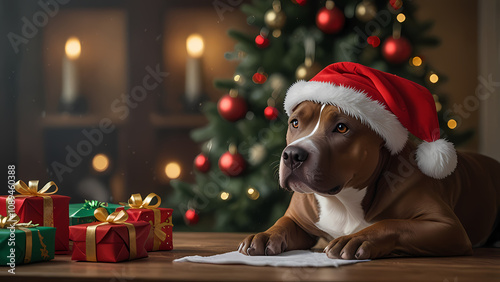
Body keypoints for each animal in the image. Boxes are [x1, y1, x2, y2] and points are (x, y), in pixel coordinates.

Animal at [238, 102, 500, 260]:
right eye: (295, 123)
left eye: (341, 127)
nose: (293, 154)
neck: (342, 200)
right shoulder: (297, 219)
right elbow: (282, 223)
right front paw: (264, 235)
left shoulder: (446, 226)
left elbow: (393, 224)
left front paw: (355, 239)